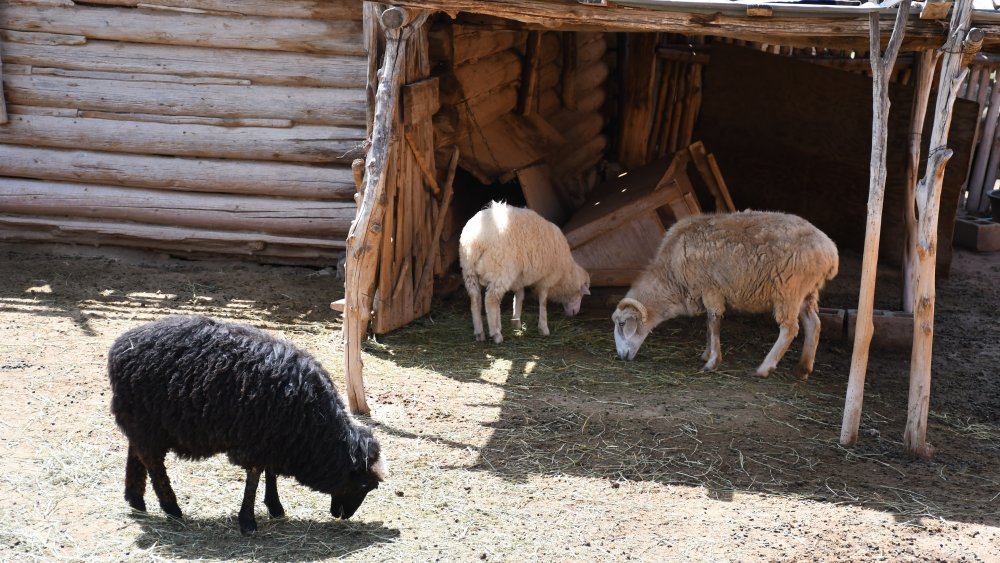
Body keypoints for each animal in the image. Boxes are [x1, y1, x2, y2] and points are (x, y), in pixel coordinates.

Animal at [108, 316, 386, 536]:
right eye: (363, 485)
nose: (343, 515)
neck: (315, 430)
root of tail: (119, 347)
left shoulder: (275, 440)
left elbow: (270, 473)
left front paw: (275, 507)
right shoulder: (258, 441)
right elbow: (254, 478)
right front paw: (248, 522)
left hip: (142, 420)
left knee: (135, 453)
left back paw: (136, 500)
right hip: (147, 421)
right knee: (154, 464)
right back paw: (172, 508)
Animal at [462, 203, 592, 344]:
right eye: (581, 295)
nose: (575, 313)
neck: (565, 273)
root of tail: (476, 240)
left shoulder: (519, 278)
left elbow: (519, 297)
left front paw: (516, 322)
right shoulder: (547, 278)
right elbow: (543, 302)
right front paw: (543, 328)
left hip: (469, 271)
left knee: (475, 299)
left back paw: (480, 333)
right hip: (501, 270)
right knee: (491, 300)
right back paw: (496, 334)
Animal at [612, 209, 840, 382]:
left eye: (622, 324)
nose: (621, 357)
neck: (671, 275)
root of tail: (830, 251)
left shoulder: (711, 289)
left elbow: (714, 322)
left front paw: (712, 362)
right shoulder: (706, 293)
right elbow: (708, 323)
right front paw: (706, 354)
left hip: (789, 291)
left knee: (789, 328)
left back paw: (764, 368)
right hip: (807, 292)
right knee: (814, 324)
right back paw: (803, 369)